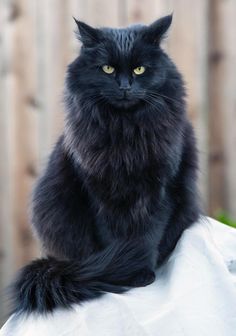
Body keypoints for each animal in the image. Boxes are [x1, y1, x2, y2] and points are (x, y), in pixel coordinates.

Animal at [11, 15, 201, 316]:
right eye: (108, 69)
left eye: (139, 69)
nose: (124, 86)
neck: (126, 132)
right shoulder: (98, 191)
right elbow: (111, 238)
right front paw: (119, 272)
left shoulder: (160, 191)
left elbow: (147, 236)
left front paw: (139, 273)